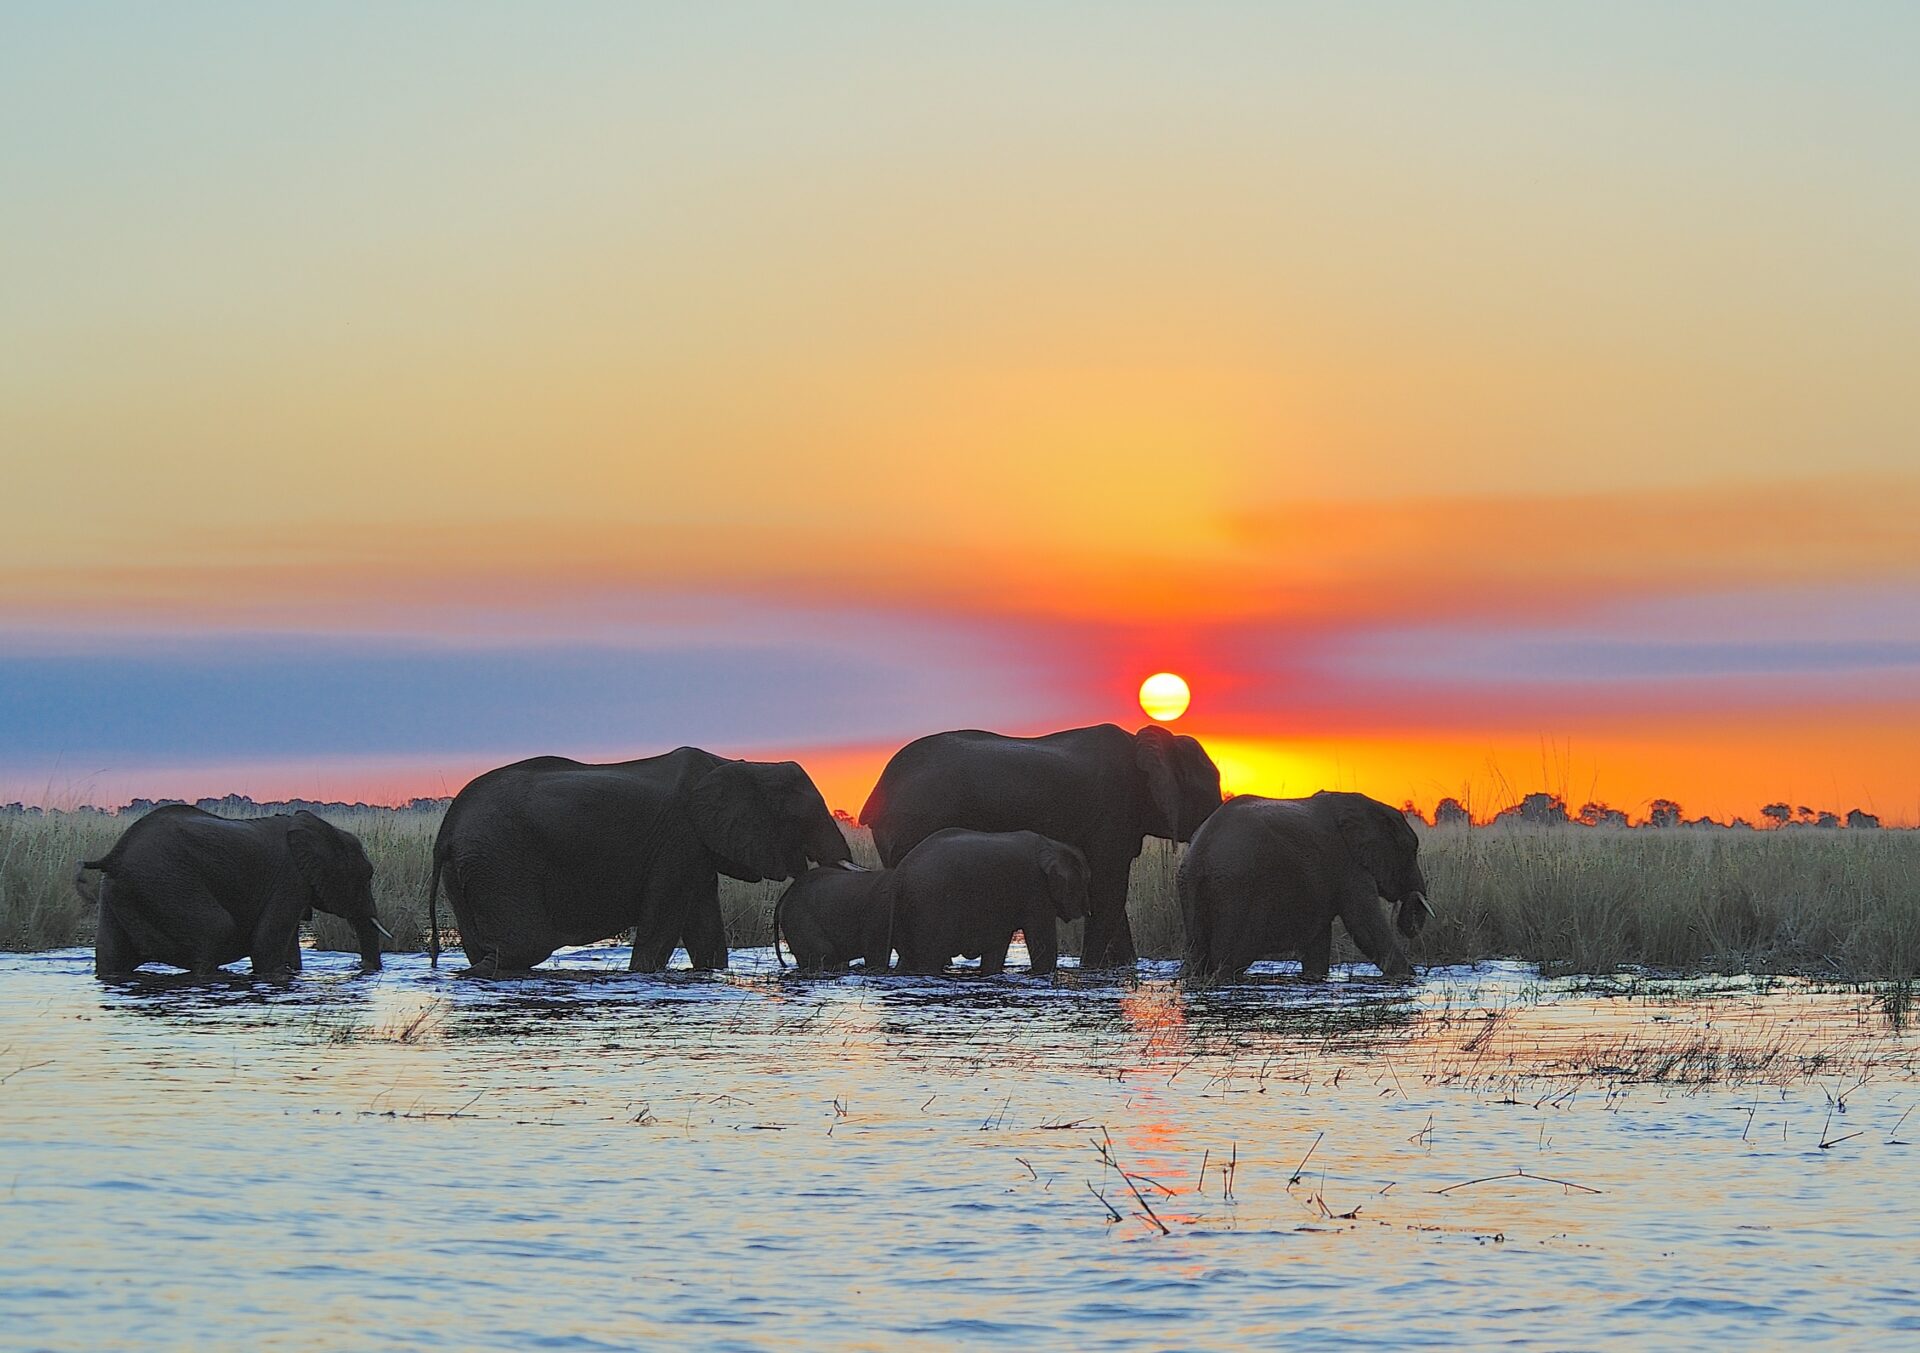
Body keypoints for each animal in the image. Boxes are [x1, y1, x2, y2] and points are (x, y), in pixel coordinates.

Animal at [75, 806, 388, 978]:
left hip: (119, 891)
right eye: (366, 875)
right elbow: (266, 944)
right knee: (216, 928)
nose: (363, 967)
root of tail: (113, 856)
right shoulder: (290, 881)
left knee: (110, 953)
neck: (324, 829)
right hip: (165, 881)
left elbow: (288, 947)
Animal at [428, 748, 852, 976]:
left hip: (471, 867)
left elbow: (705, 931)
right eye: (802, 818)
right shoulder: (679, 839)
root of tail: (447, 831)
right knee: (524, 946)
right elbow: (663, 925)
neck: (744, 764)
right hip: (500, 861)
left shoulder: (694, 850)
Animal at [889, 829, 1091, 976]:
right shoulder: (1036, 890)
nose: (1087, 911)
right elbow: (1043, 944)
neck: (1053, 844)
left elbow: (998, 945)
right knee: (929, 958)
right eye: (1085, 882)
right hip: (931, 904)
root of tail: (900, 874)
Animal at [1179, 791, 1433, 982]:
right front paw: (1408, 978)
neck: (1371, 806)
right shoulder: (1348, 865)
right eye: (1411, 850)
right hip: (1235, 890)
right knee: (1228, 960)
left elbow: (1318, 941)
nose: (1413, 897)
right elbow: (1365, 926)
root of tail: (1200, 852)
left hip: (1193, 888)